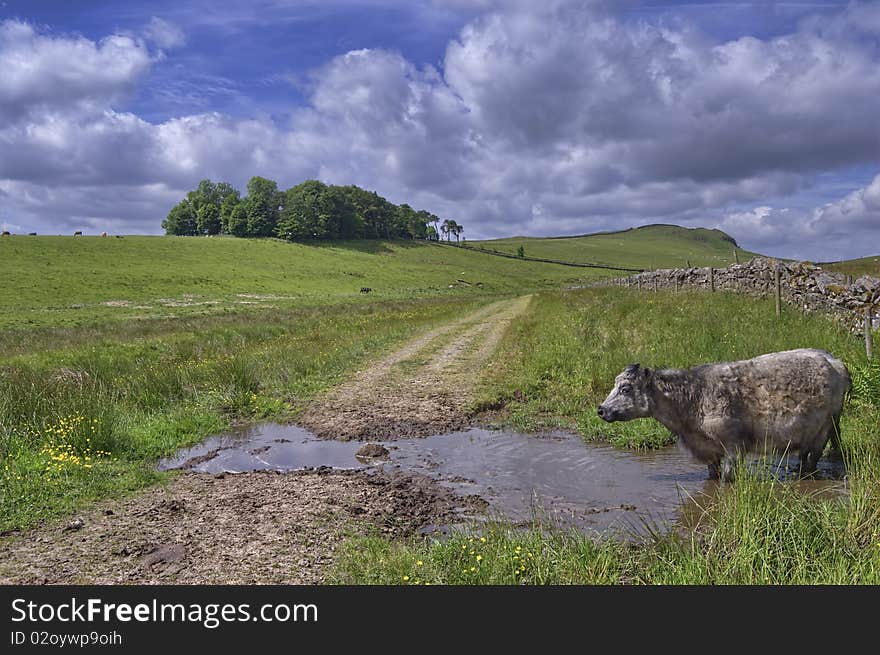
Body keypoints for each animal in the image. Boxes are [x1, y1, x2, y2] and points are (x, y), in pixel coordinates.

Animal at [596, 348, 848, 482]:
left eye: (625, 388)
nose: (601, 409)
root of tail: (833, 361)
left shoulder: (734, 446)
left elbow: (727, 478)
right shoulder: (707, 450)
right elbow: (713, 475)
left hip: (825, 427)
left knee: (814, 456)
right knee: (805, 454)